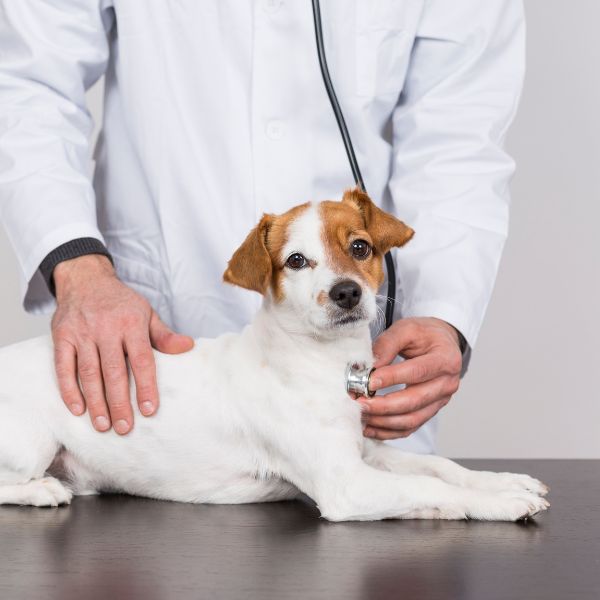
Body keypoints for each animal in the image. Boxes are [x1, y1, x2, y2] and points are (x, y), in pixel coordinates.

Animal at [0, 189, 548, 520]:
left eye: (361, 247)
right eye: (296, 261)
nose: (347, 292)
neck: (319, 363)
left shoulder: (366, 453)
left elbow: (441, 469)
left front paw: (504, 481)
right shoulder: (346, 483)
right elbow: (433, 488)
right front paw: (500, 503)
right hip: (31, 443)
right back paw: (40, 490)